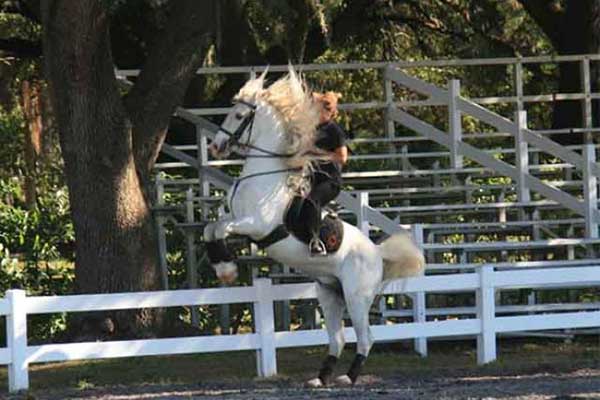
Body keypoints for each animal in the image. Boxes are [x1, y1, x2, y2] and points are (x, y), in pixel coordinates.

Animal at [204, 69, 424, 388]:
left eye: (239, 115)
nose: (215, 146)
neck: (262, 174)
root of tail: (376, 252)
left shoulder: (256, 224)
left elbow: (220, 229)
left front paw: (227, 270)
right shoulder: (234, 216)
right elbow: (210, 228)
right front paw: (223, 266)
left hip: (357, 296)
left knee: (365, 338)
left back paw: (348, 377)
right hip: (330, 294)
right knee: (338, 340)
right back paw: (320, 379)